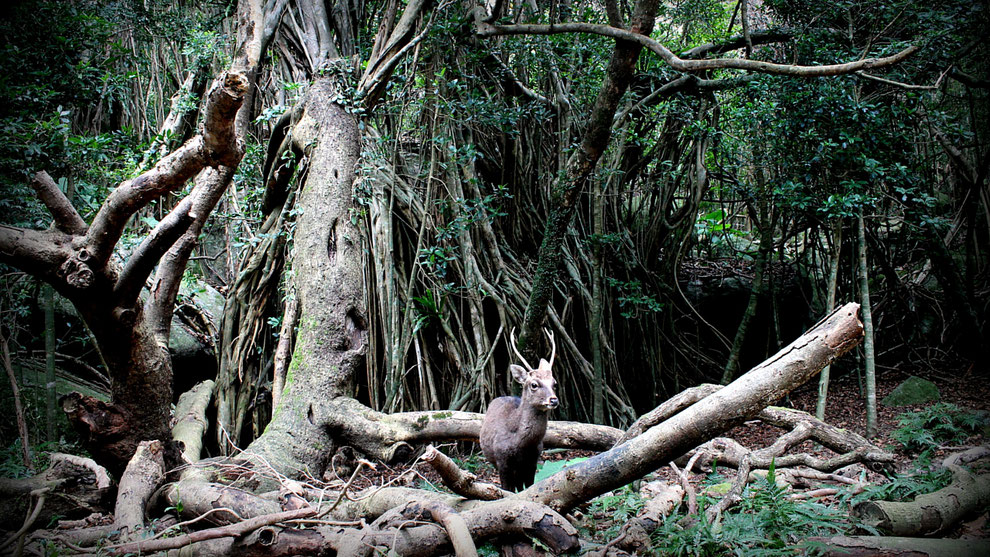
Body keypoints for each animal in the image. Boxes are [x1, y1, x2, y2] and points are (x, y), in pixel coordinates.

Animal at [478, 326, 560, 490]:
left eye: (554, 383)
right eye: (534, 384)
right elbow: (507, 490)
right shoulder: (502, 459)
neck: (522, 445)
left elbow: (528, 488)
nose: (553, 400)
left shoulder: (533, 460)